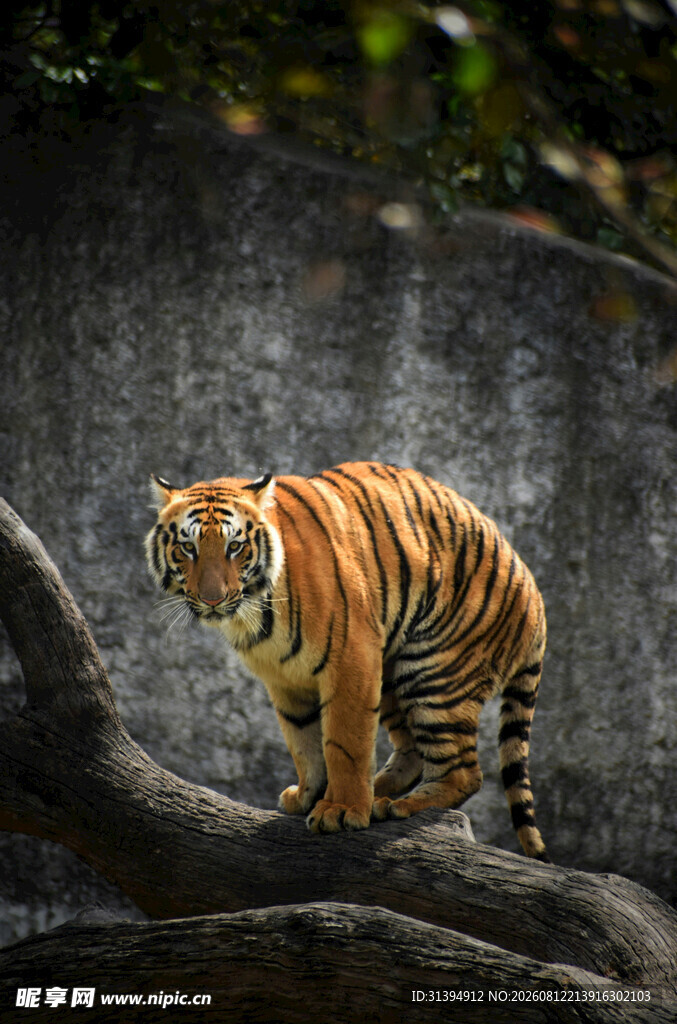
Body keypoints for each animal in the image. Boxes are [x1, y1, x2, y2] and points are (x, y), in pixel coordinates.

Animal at [145, 461, 549, 861]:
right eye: (188, 547)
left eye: (235, 547)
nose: (212, 599)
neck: (255, 612)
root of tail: (535, 595)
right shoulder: (285, 679)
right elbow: (302, 741)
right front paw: (308, 795)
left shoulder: (351, 659)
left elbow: (344, 743)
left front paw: (340, 810)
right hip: (394, 674)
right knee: (414, 753)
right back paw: (378, 792)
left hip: (435, 673)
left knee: (464, 773)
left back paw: (395, 805)